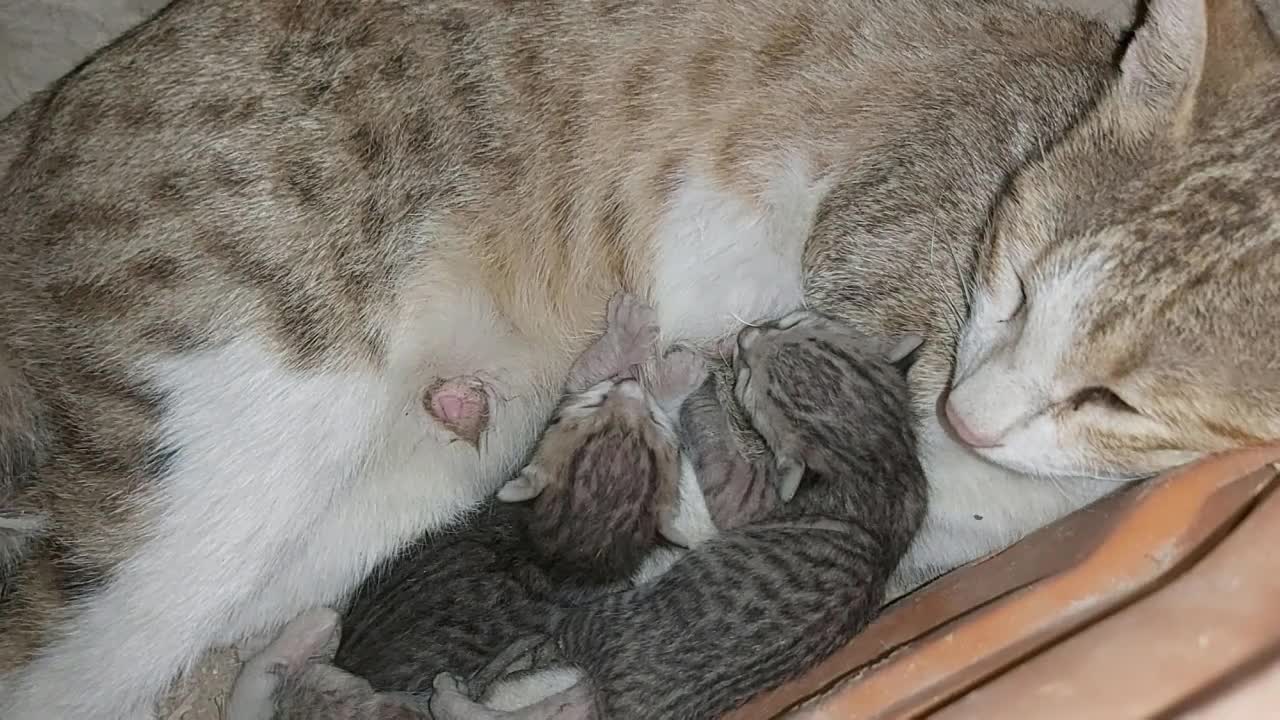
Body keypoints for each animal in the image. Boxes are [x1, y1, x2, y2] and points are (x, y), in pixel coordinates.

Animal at [2, 0, 1280, 712]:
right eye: (1008, 282)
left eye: (1115, 399)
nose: (965, 416)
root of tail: (39, 121)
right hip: (232, 432)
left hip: (376, 496)